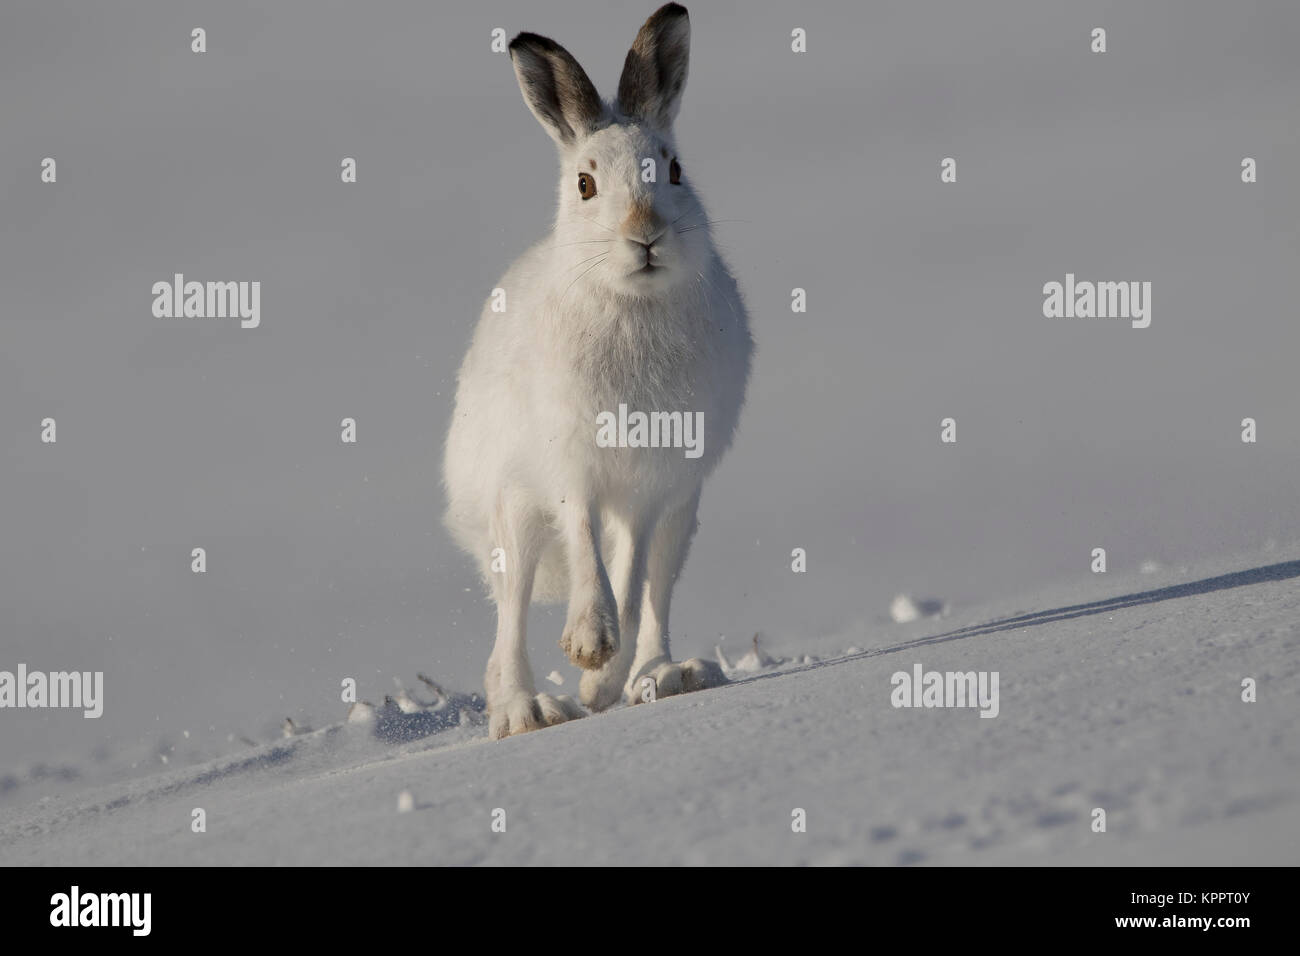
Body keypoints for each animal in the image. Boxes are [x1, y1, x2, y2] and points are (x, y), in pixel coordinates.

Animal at [443, 2, 753, 739]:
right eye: (584, 186)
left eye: (674, 170)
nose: (644, 234)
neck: (631, 301)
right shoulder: (571, 466)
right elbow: (585, 537)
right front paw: (587, 644)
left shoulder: (653, 488)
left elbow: (631, 575)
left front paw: (600, 674)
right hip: (514, 514)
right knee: (510, 620)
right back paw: (524, 712)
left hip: (682, 517)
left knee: (655, 591)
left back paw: (657, 677)